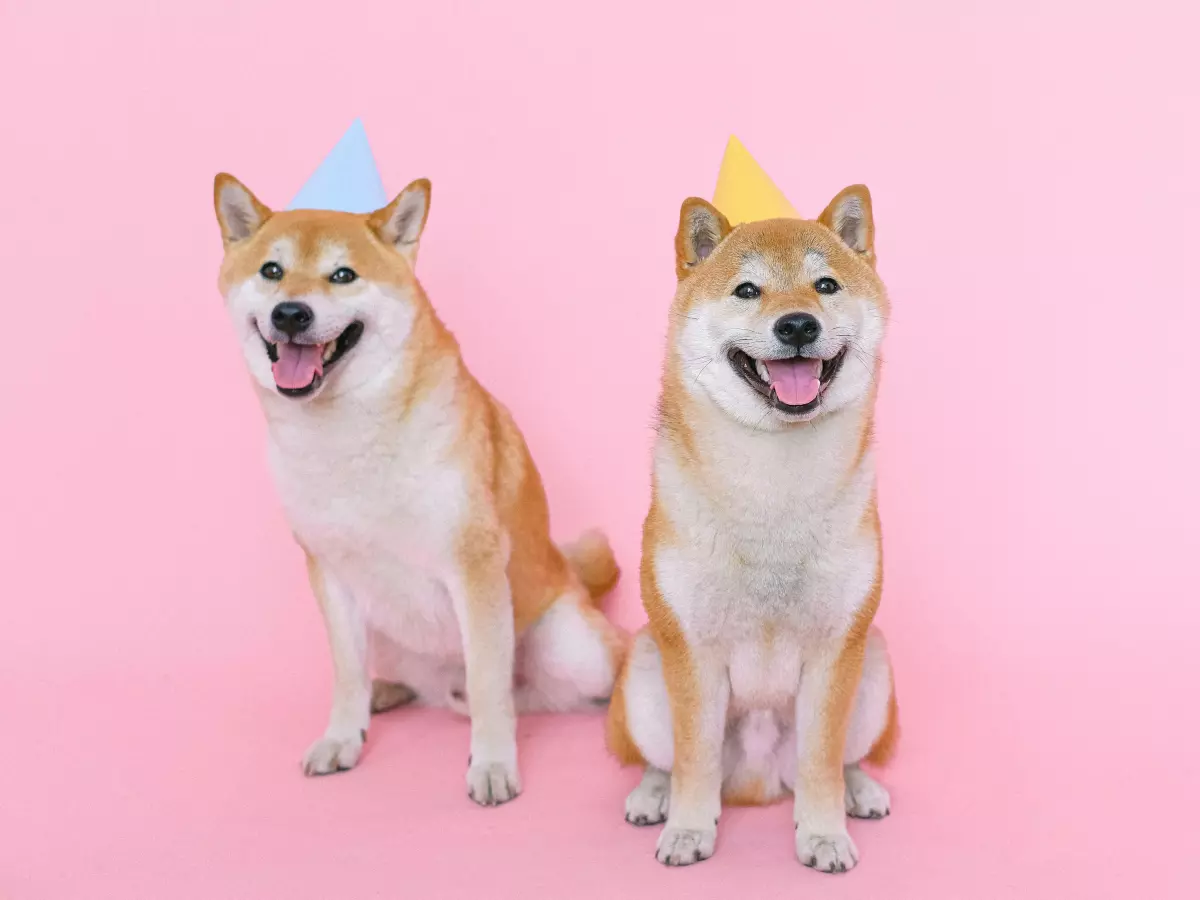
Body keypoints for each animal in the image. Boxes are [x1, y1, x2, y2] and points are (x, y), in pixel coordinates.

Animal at [214, 172, 624, 806]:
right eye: (272, 271)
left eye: (342, 275)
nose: (290, 314)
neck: (347, 434)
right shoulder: (329, 573)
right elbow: (345, 673)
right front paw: (342, 736)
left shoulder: (473, 568)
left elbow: (488, 682)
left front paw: (493, 763)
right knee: (400, 679)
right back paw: (387, 695)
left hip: (571, 646)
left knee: (537, 691)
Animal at [604, 139, 897, 873]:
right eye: (747, 291)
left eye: (826, 286)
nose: (797, 325)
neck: (774, 487)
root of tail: (760, 780)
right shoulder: (690, 653)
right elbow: (694, 759)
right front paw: (686, 827)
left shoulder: (837, 651)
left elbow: (821, 763)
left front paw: (823, 833)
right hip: (644, 669)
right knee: (661, 758)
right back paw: (651, 795)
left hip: (875, 667)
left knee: (841, 760)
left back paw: (861, 790)